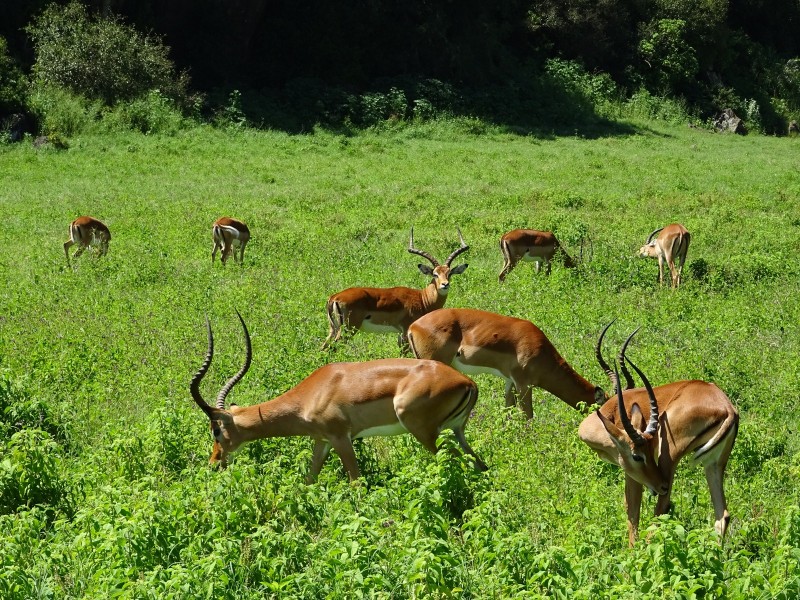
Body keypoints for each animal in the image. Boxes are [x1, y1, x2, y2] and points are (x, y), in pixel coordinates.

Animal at [189, 311, 488, 481]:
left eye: (216, 430)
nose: (214, 462)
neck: (311, 395)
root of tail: (467, 382)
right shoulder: (321, 441)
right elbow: (309, 480)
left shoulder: (341, 438)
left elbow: (356, 481)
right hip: (456, 431)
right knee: (478, 463)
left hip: (424, 432)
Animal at [321, 229, 469, 351]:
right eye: (435, 274)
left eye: (449, 273)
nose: (445, 284)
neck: (422, 299)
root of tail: (334, 297)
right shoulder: (406, 331)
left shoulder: (399, 333)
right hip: (348, 329)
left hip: (333, 329)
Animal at [407, 308, 607, 419]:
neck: (540, 349)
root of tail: (413, 326)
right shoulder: (524, 384)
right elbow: (528, 415)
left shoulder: (509, 380)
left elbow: (507, 409)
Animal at [578, 323, 739, 546]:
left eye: (638, 456)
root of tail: (727, 408)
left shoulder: (631, 470)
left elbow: (632, 509)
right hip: (713, 464)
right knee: (722, 515)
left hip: (668, 458)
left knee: (662, 507)